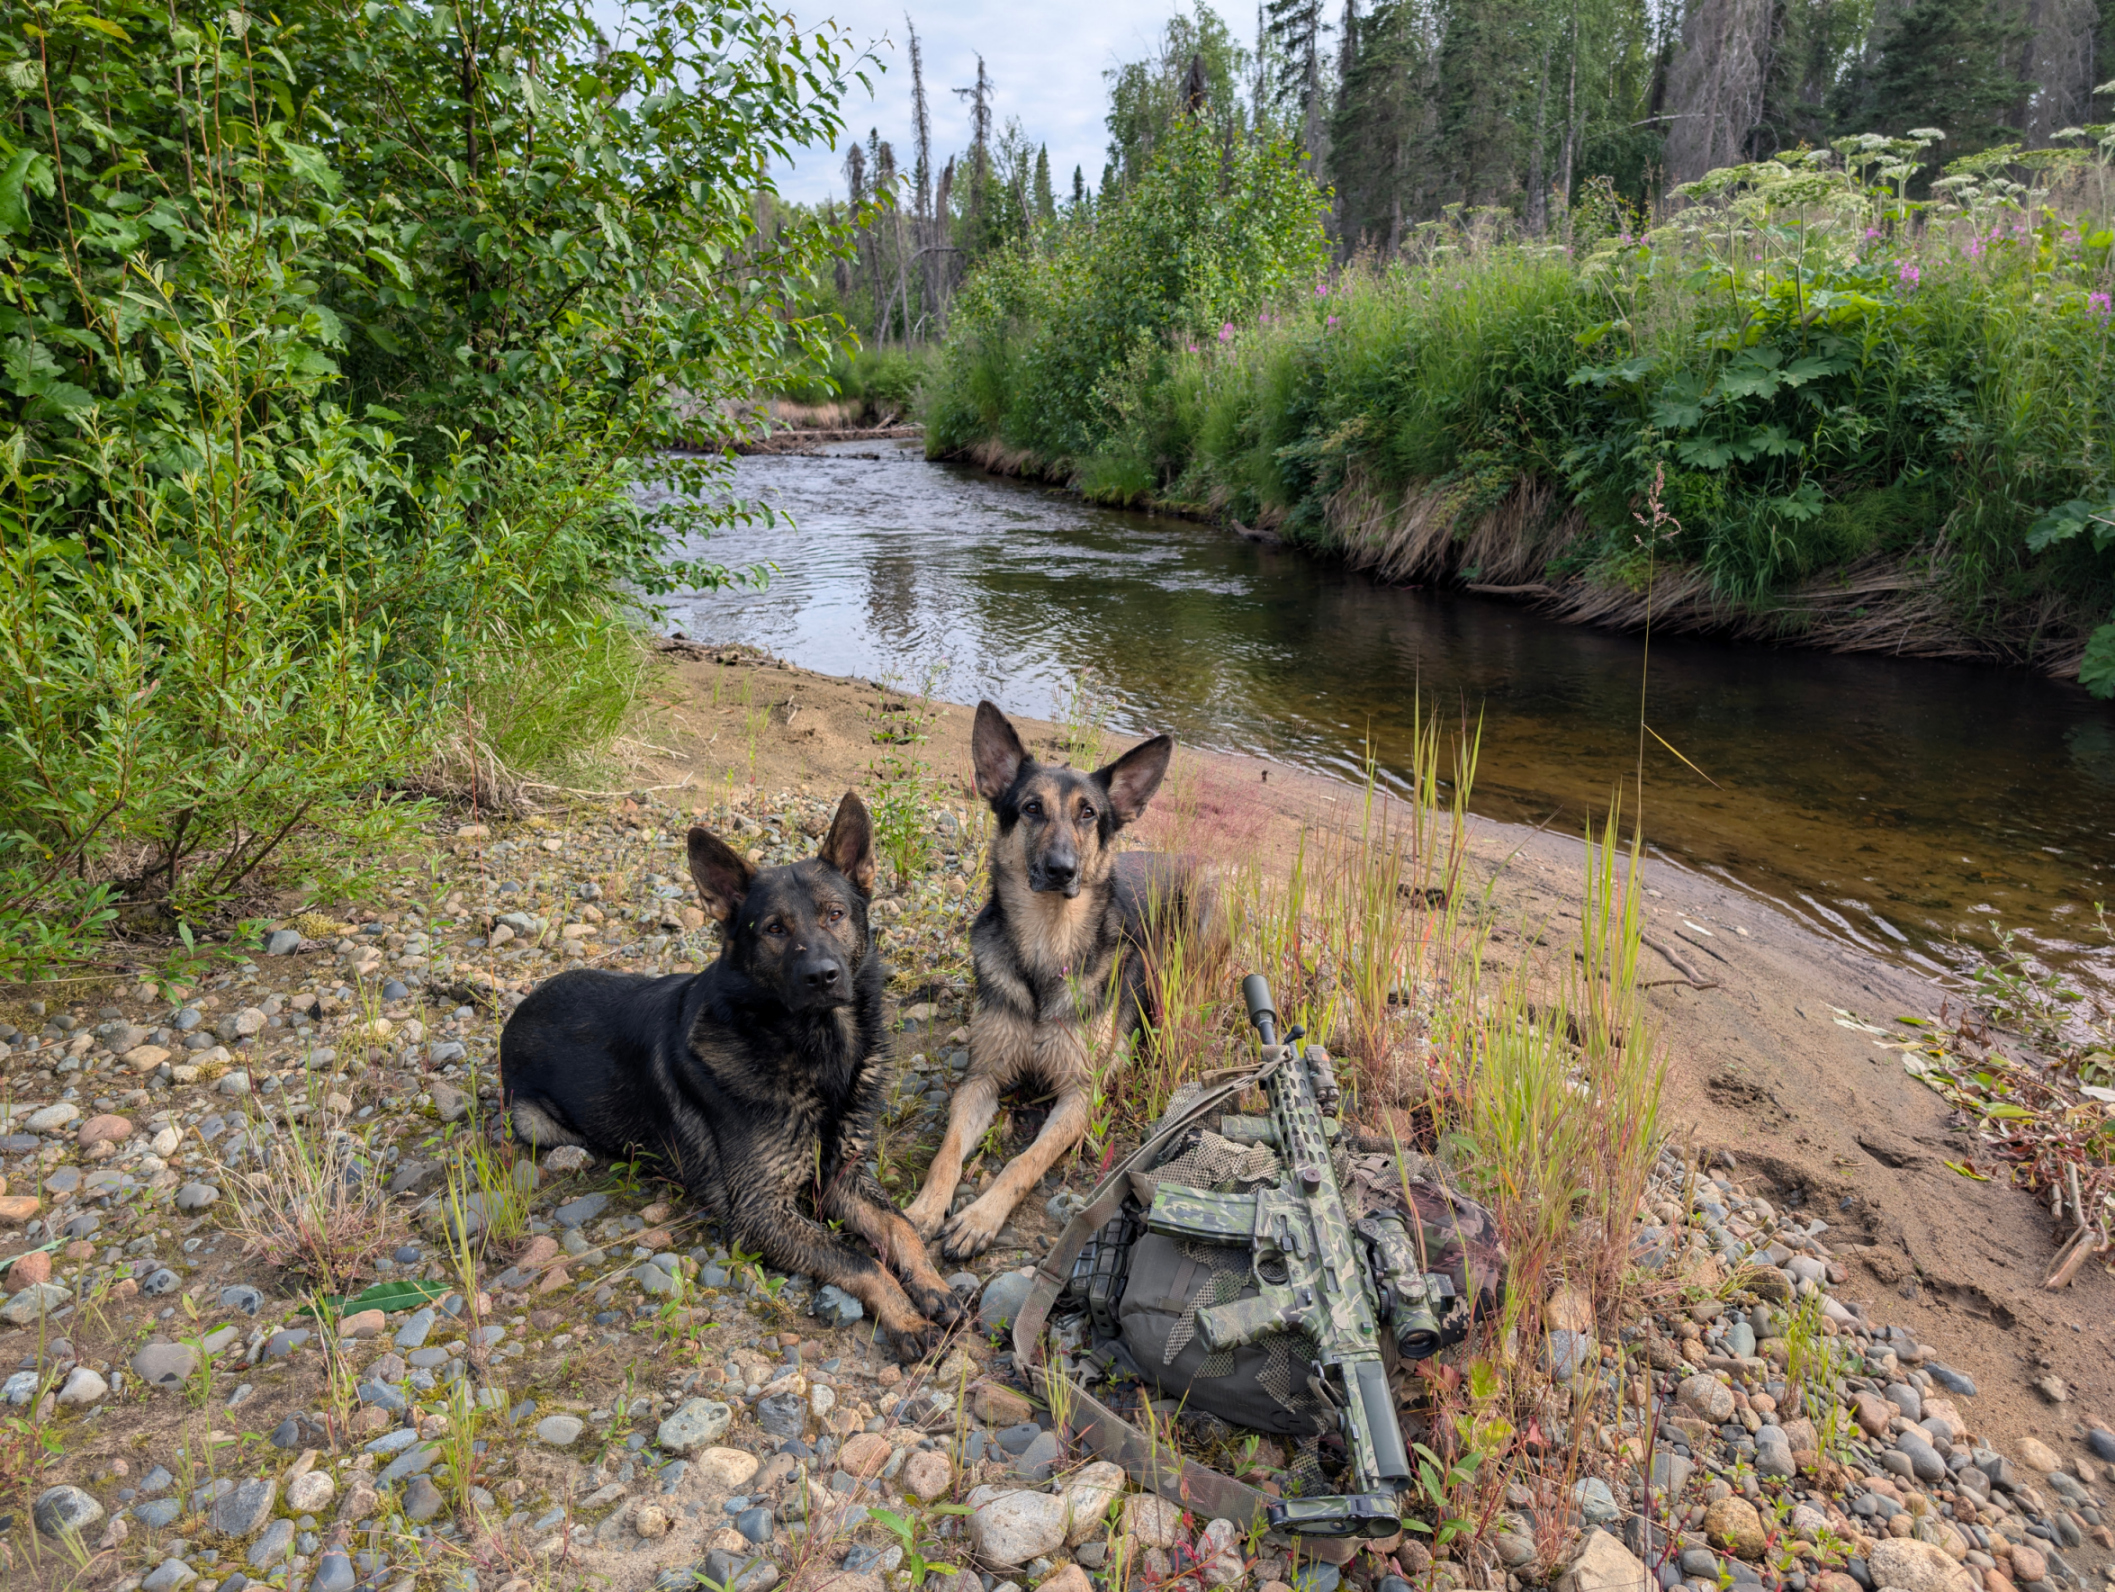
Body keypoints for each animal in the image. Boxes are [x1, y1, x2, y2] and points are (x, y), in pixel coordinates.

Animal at [499, 793, 963, 1354]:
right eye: (775, 929)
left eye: (835, 915)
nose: (823, 977)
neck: (815, 1056)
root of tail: (519, 1012)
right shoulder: (760, 1212)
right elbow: (859, 1259)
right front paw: (907, 1320)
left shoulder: (843, 1176)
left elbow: (901, 1228)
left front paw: (933, 1288)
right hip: (533, 1122)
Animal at [905, 700, 1216, 1259]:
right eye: (1031, 808)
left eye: (1088, 813)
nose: (1060, 869)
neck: (1046, 949)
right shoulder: (981, 1078)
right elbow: (947, 1151)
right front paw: (925, 1208)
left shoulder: (1078, 1094)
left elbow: (1023, 1161)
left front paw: (979, 1216)